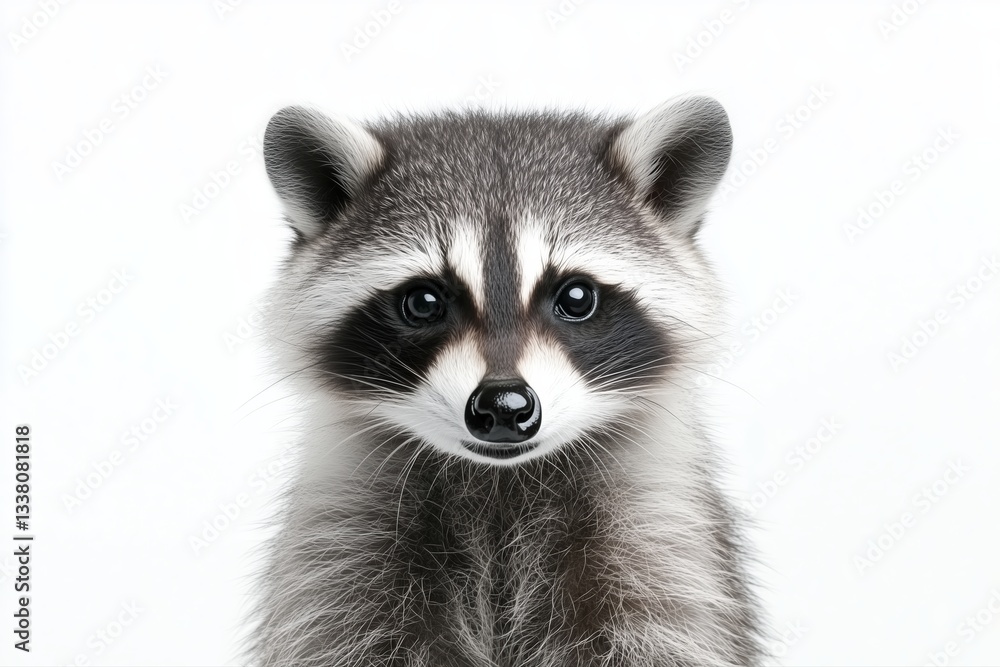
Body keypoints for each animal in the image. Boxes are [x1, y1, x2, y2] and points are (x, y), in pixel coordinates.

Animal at [248, 97, 761, 666]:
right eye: (423, 301)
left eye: (576, 297)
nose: (504, 406)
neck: (498, 482)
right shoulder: (342, 549)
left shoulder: (662, 542)